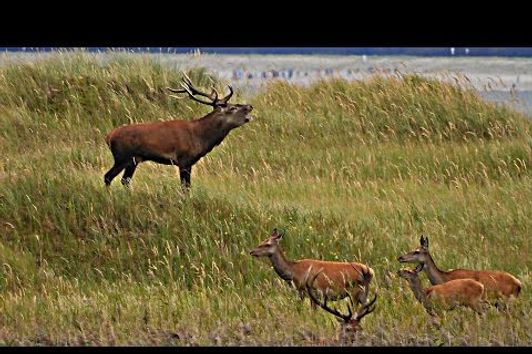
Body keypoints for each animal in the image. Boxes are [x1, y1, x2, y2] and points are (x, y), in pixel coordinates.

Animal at [105, 73, 254, 189]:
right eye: (232, 108)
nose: (250, 106)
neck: (200, 138)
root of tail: (109, 137)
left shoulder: (189, 162)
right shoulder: (184, 159)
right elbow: (185, 187)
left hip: (133, 160)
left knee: (125, 180)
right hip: (122, 157)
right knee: (108, 176)